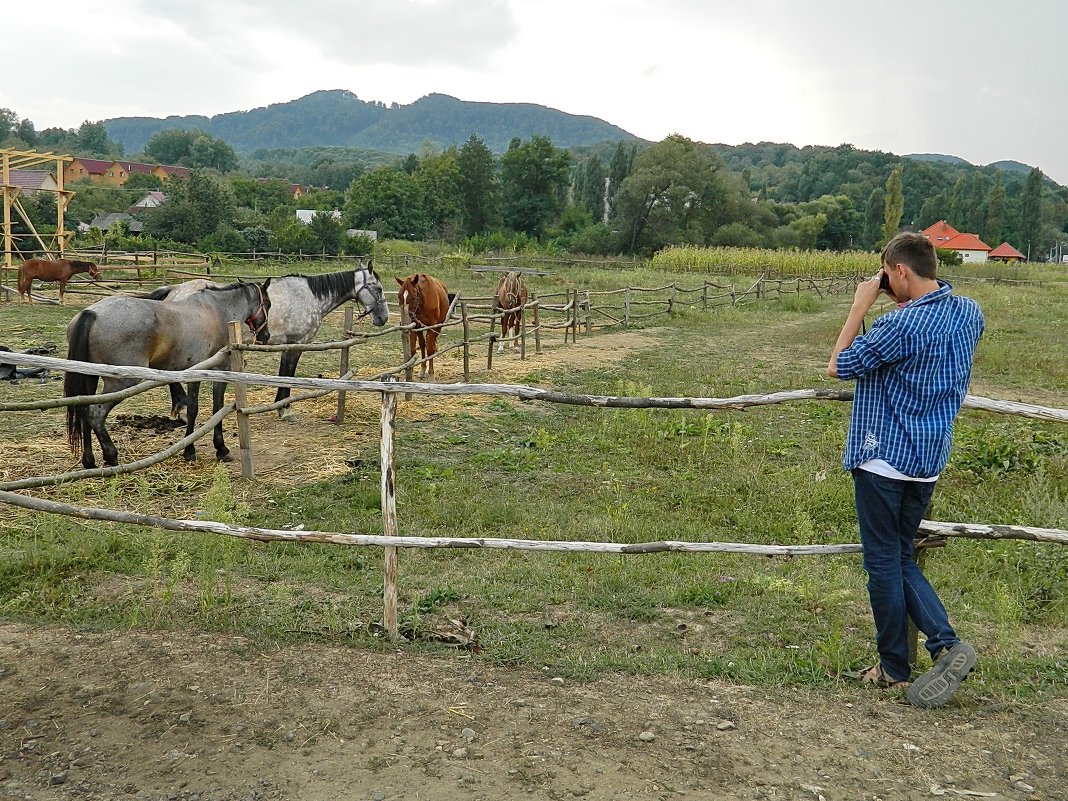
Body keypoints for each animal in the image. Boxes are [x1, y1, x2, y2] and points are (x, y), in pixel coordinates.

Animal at [65, 281, 271, 469]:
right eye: (267, 304)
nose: (266, 335)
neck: (219, 311)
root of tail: (92, 313)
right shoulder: (214, 372)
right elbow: (205, 408)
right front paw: (207, 449)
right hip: (123, 383)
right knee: (95, 413)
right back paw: (111, 455)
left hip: (91, 379)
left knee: (84, 411)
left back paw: (89, 461)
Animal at [158, 264, 393, 427]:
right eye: (379, 288)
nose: (383, 318)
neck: (310, 297)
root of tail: (174, 289)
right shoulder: (295, 345)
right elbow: (288, 374)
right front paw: (285, 410)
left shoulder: (286, 346)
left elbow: (283, 374)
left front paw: (280, 407)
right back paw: (182, 407)